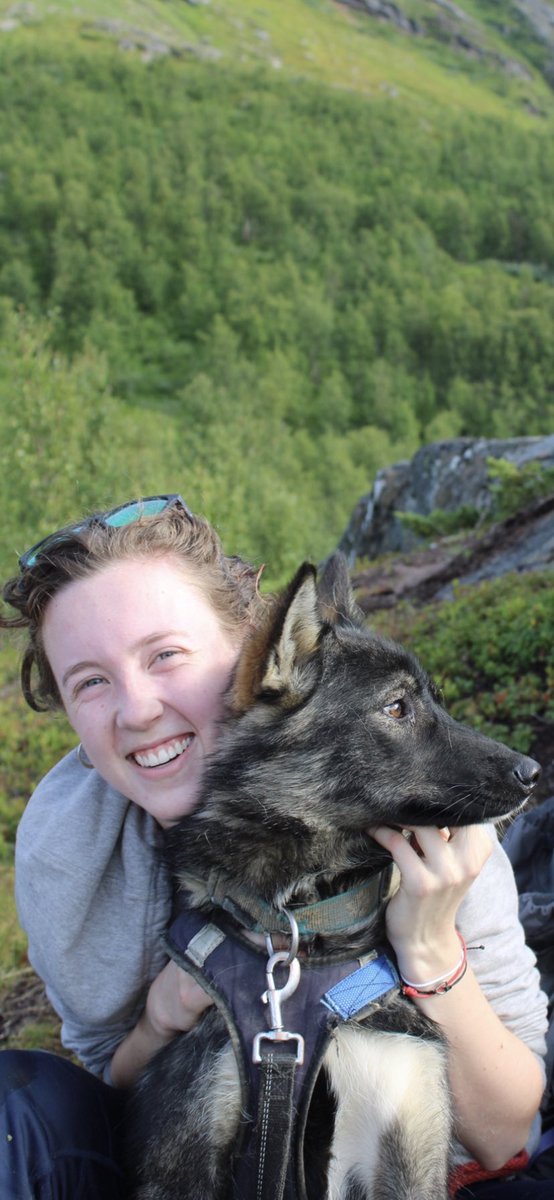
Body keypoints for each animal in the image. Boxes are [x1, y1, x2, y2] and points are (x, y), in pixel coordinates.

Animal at [126, 552, 542, 1200]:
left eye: (438, 700)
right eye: (397, 707)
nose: (532, 771)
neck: (311, 930)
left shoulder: (409, 1144)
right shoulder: (185, 1161)